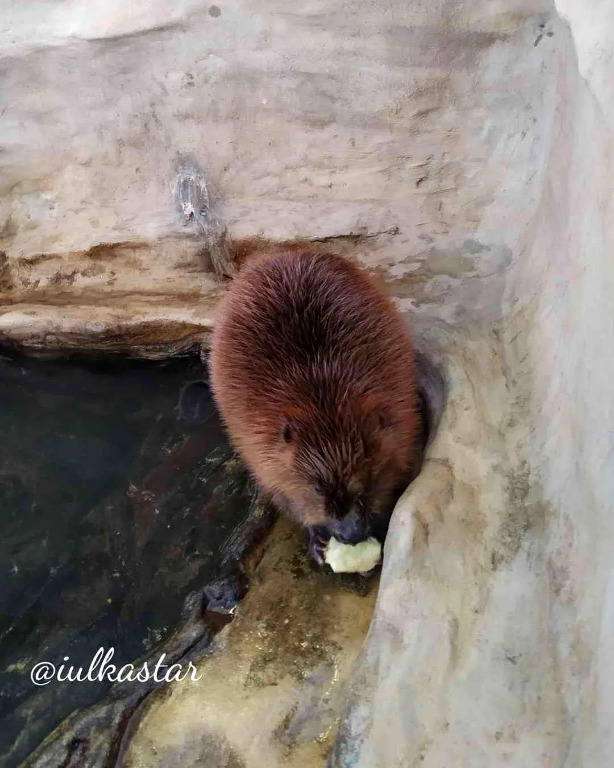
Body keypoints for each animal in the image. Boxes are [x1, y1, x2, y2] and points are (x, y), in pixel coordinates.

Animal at [209, 250, 422, 564]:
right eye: (318, 486)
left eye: (369, 473)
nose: (351, 534)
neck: (323, 401)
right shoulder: (259, 444)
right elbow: (283, 493)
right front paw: (318, 543)